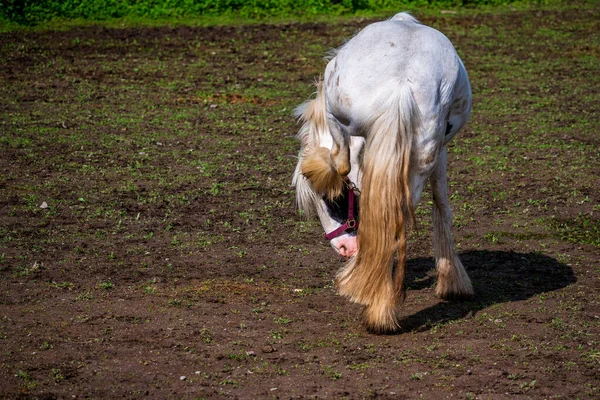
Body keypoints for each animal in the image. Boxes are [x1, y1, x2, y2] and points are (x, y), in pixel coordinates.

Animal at [294, 12, 474, 332]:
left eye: (328, 199)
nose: (343, 248)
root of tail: (400, 84)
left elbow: (344, 166)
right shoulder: (439, 151)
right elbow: (442, 206)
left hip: (338, 110)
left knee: (347, 167)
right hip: (423, 154)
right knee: (396, 218)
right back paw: (382, 302)